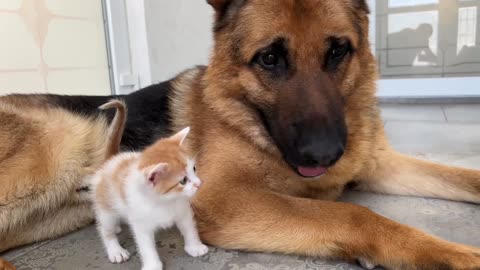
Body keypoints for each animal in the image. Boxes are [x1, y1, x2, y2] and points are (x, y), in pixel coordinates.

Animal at [90, 100, 208, 270]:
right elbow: (146, 247)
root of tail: (111, 160)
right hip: (106, 210)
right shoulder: (141, 224)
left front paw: (195, 247)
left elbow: (189, 228)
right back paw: (115, 250)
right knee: (105, 228)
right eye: (183, 181)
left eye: (194, 169)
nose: (199, 183)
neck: (164, 201)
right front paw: (152, 265)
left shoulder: (183, 211)